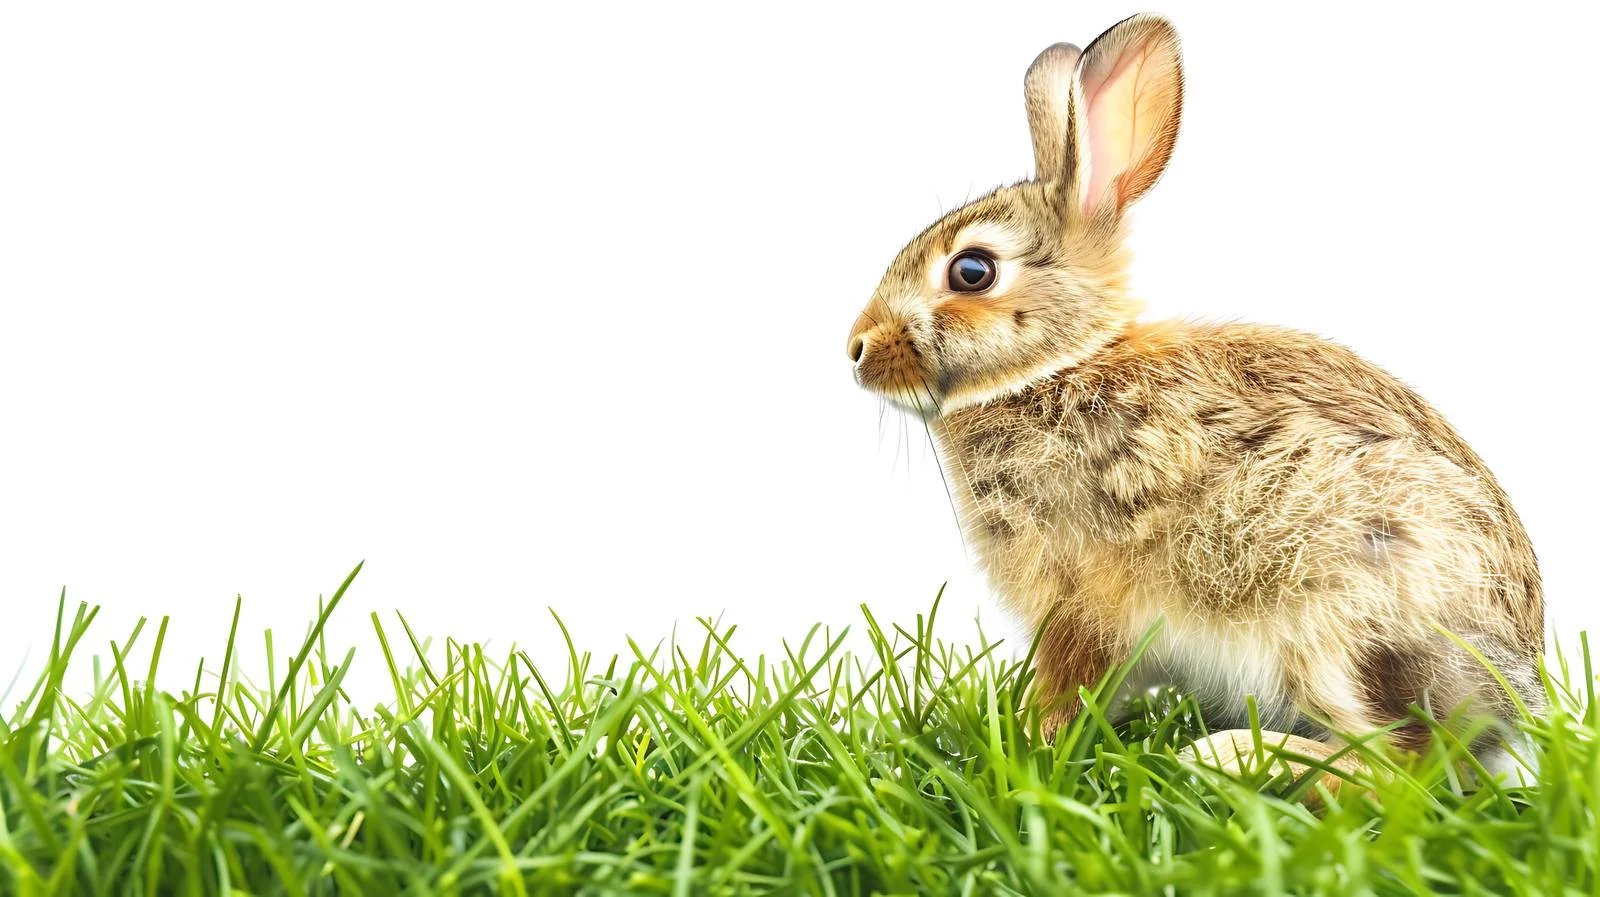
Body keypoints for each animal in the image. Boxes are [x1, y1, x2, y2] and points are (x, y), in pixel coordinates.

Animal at [845, 13, 1543, 777]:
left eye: (972, 271)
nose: (857, 351)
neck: (1057, 368)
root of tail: (1510, 696)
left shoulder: (1077, 602)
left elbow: (1064, 687)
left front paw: (1029, 745)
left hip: (1340, 622)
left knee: (1398, 769)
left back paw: (1232, 756)